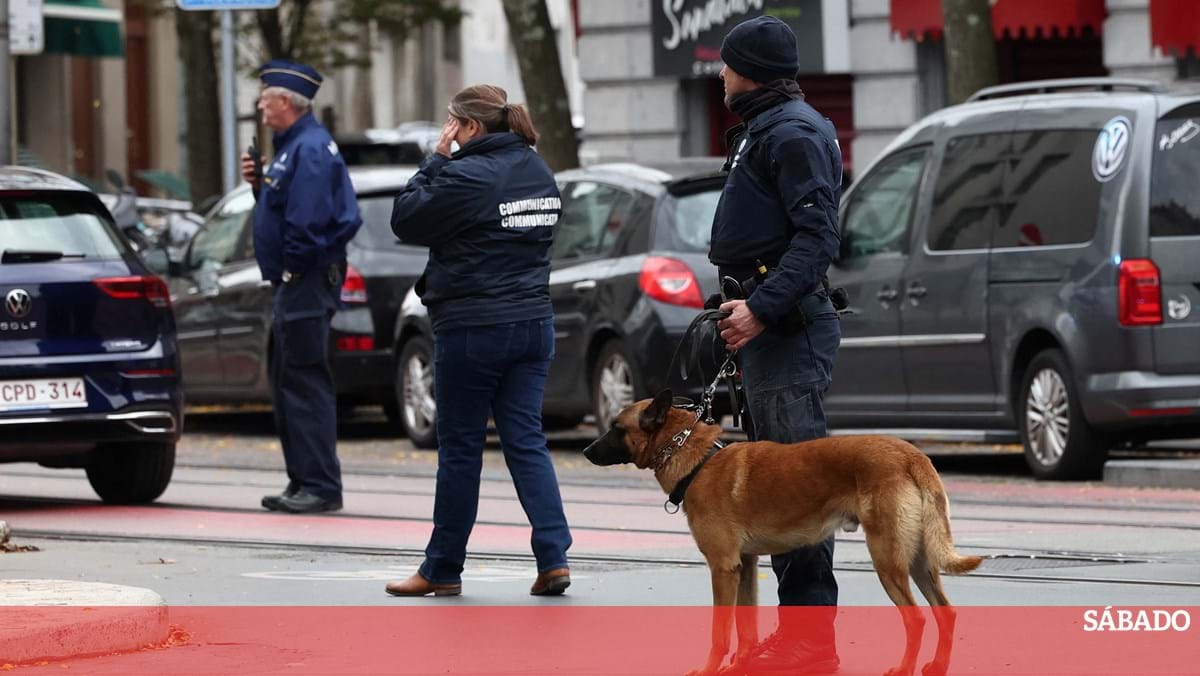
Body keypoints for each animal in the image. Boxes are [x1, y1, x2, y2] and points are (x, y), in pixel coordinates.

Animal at [583, 391, 984, 676]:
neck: (697, 460)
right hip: (917, 561)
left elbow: (720, 631)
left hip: (887, 560)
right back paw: (939, 666)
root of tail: (911, 455)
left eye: (616, 427)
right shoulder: (744, 566)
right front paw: (741, 666)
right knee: (945, 613)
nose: (585, 450)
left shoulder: (722, 569)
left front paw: (712, 669)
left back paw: (904, 668)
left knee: (916, 619)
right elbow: (745, 629)